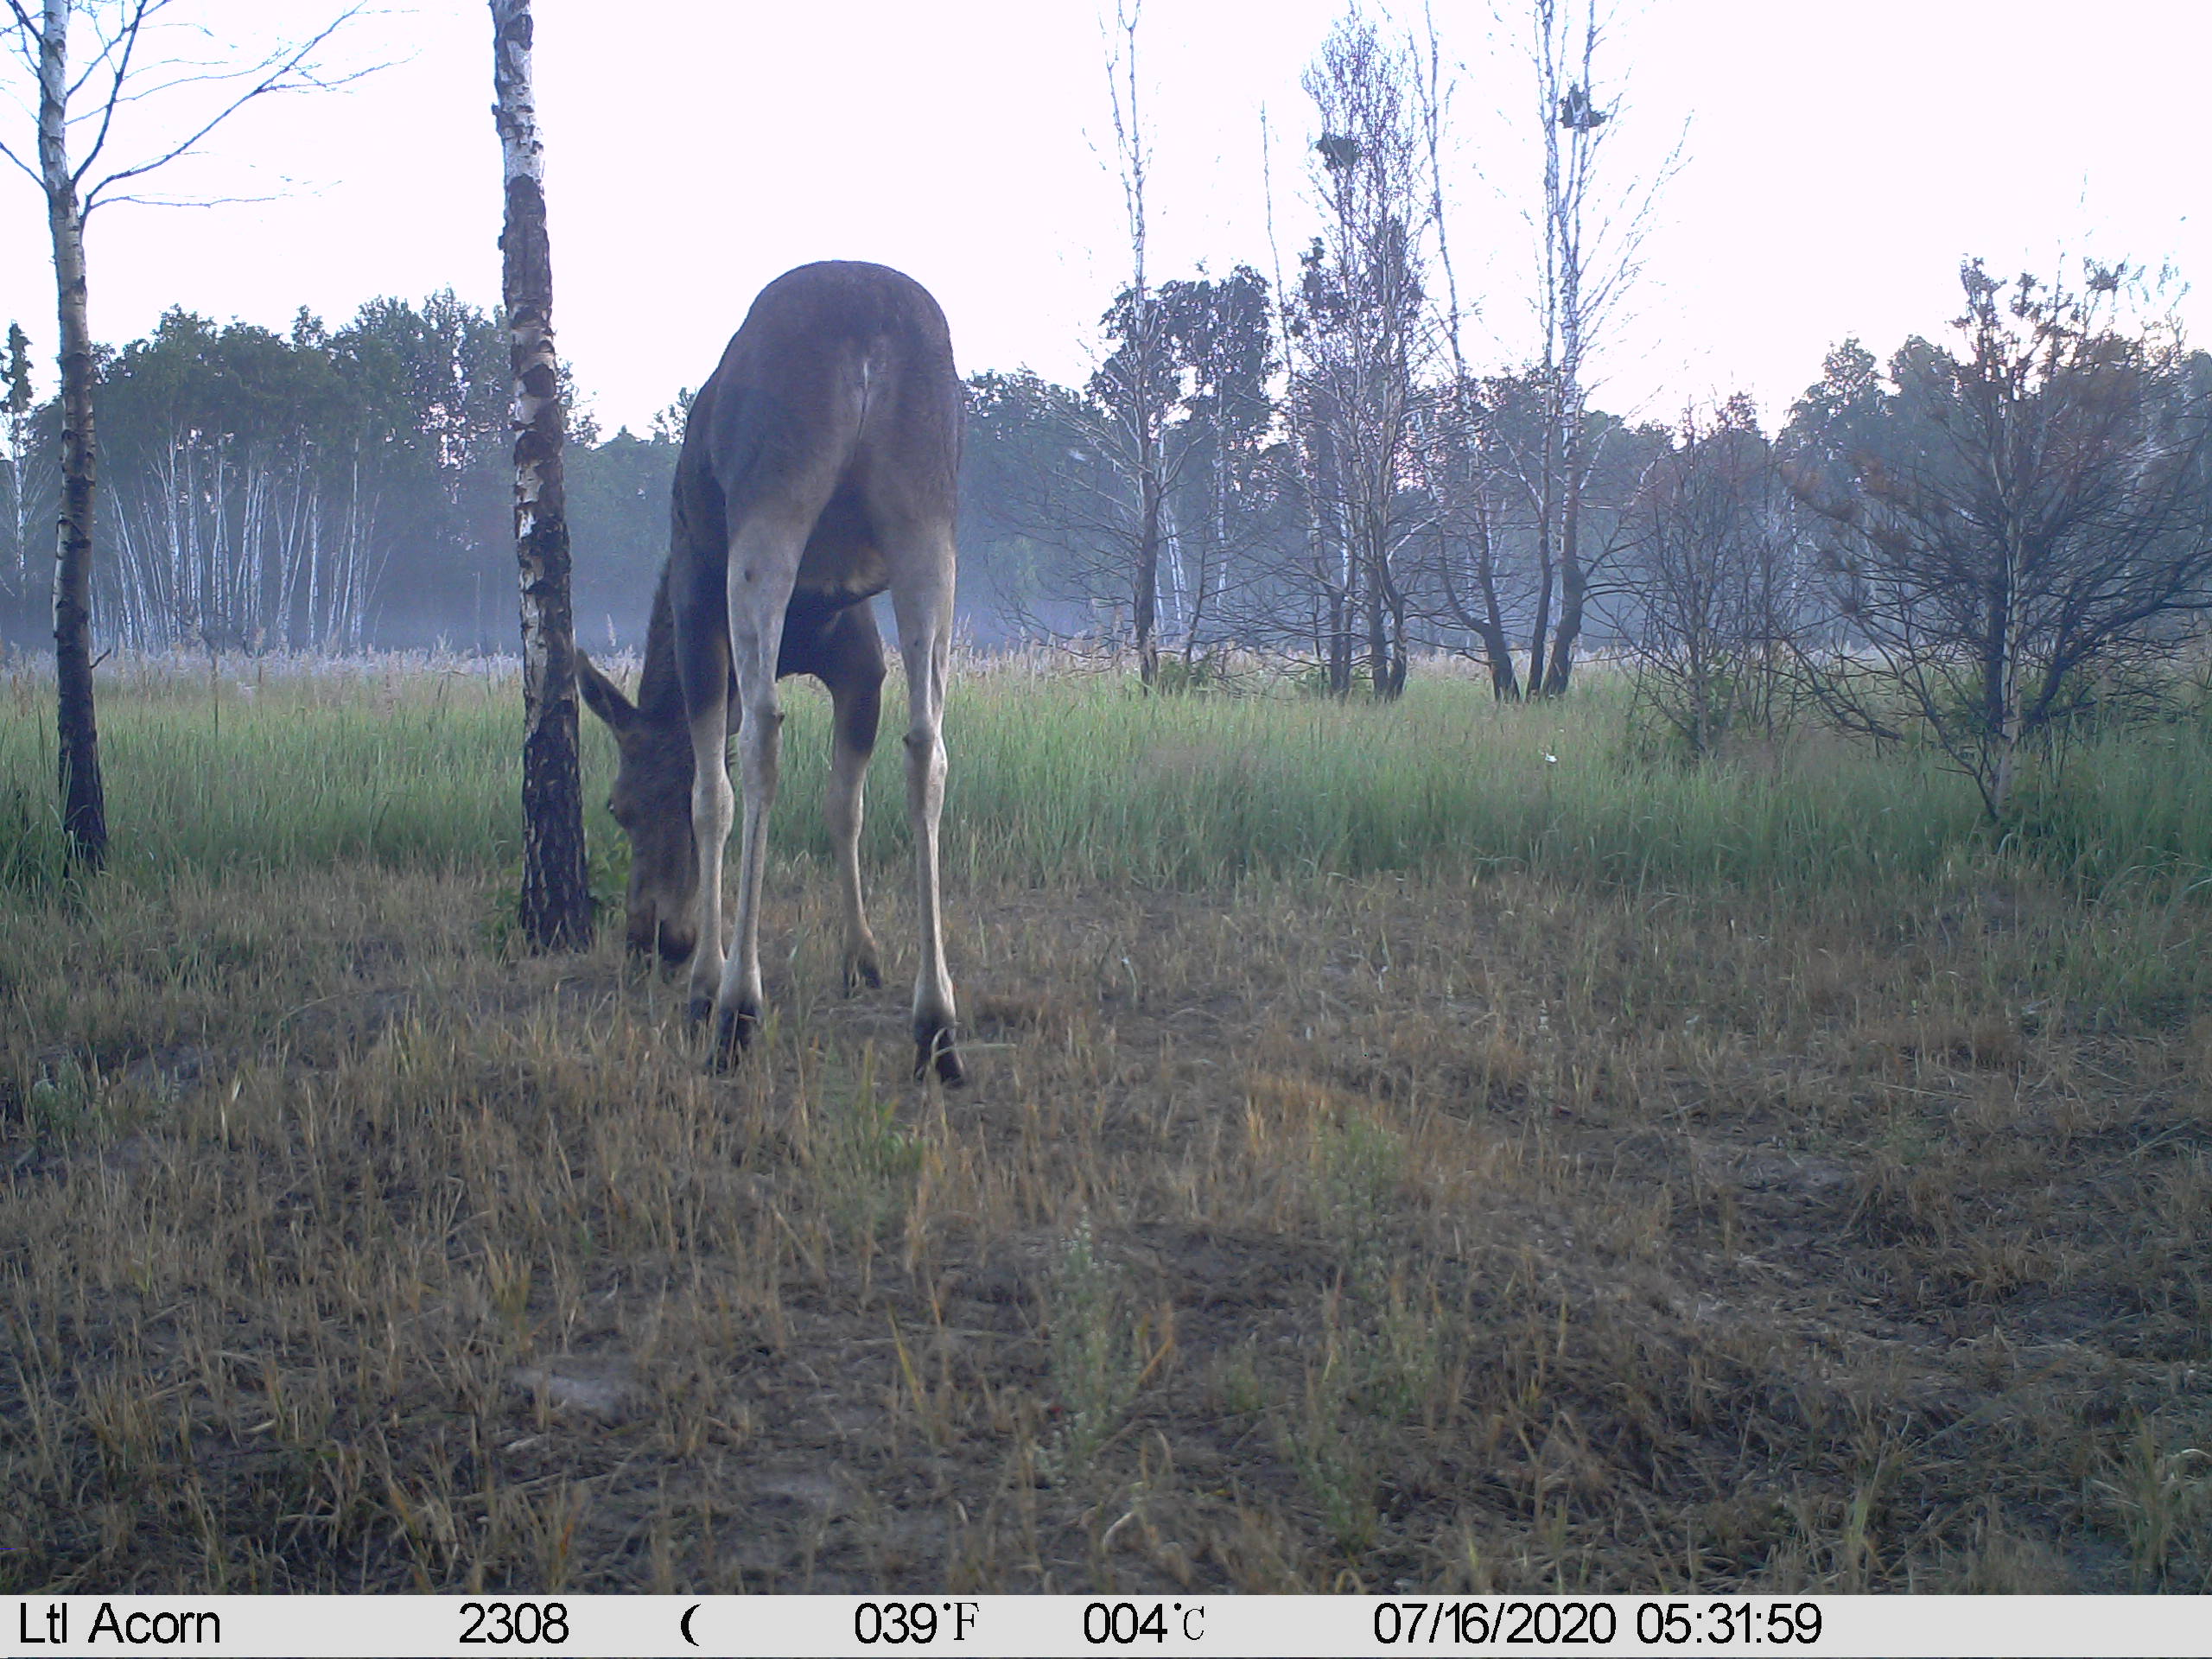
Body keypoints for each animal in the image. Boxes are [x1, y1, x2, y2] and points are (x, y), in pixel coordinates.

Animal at [576, 261, 963, 1085]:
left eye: (614, 808)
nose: (651, 938)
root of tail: (865, 320)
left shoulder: (697, 602)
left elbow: (708, 789)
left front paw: (706, 981)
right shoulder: (857, 651)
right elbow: (844, 802)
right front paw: (861, 956)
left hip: (767, 503)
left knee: (758, 739)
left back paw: (736, 1009)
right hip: (928, 518)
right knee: (928, 746)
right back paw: (937, 1023)